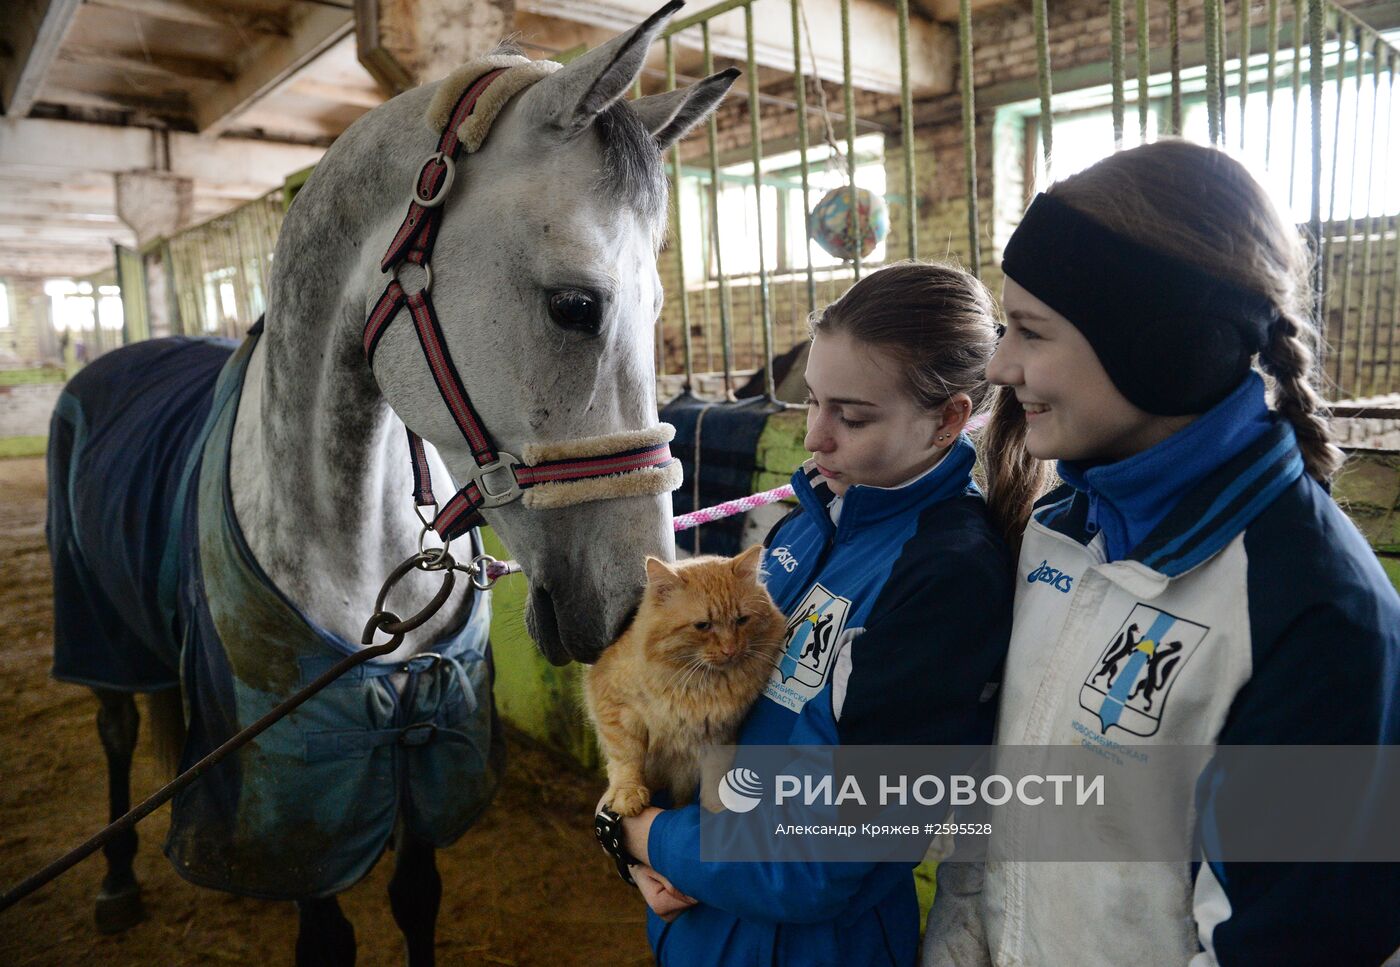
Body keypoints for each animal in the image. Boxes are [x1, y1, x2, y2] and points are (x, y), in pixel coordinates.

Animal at [46, 3, 733, 962]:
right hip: (95, 621)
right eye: (574, 305)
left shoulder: (424, 732)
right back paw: (113, 879)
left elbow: (415, 895)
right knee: (114, 728)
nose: (634, 604)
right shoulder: (298, 784)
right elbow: (325, 928)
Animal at [585, 545, 795, 817]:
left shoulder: (718, 735)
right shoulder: (616, 707)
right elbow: (627, 758)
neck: (699, 684)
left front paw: (716, 810)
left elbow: (715, 778)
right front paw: (627, 794)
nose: (730, 649)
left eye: (741, 620)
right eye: (703, 625)